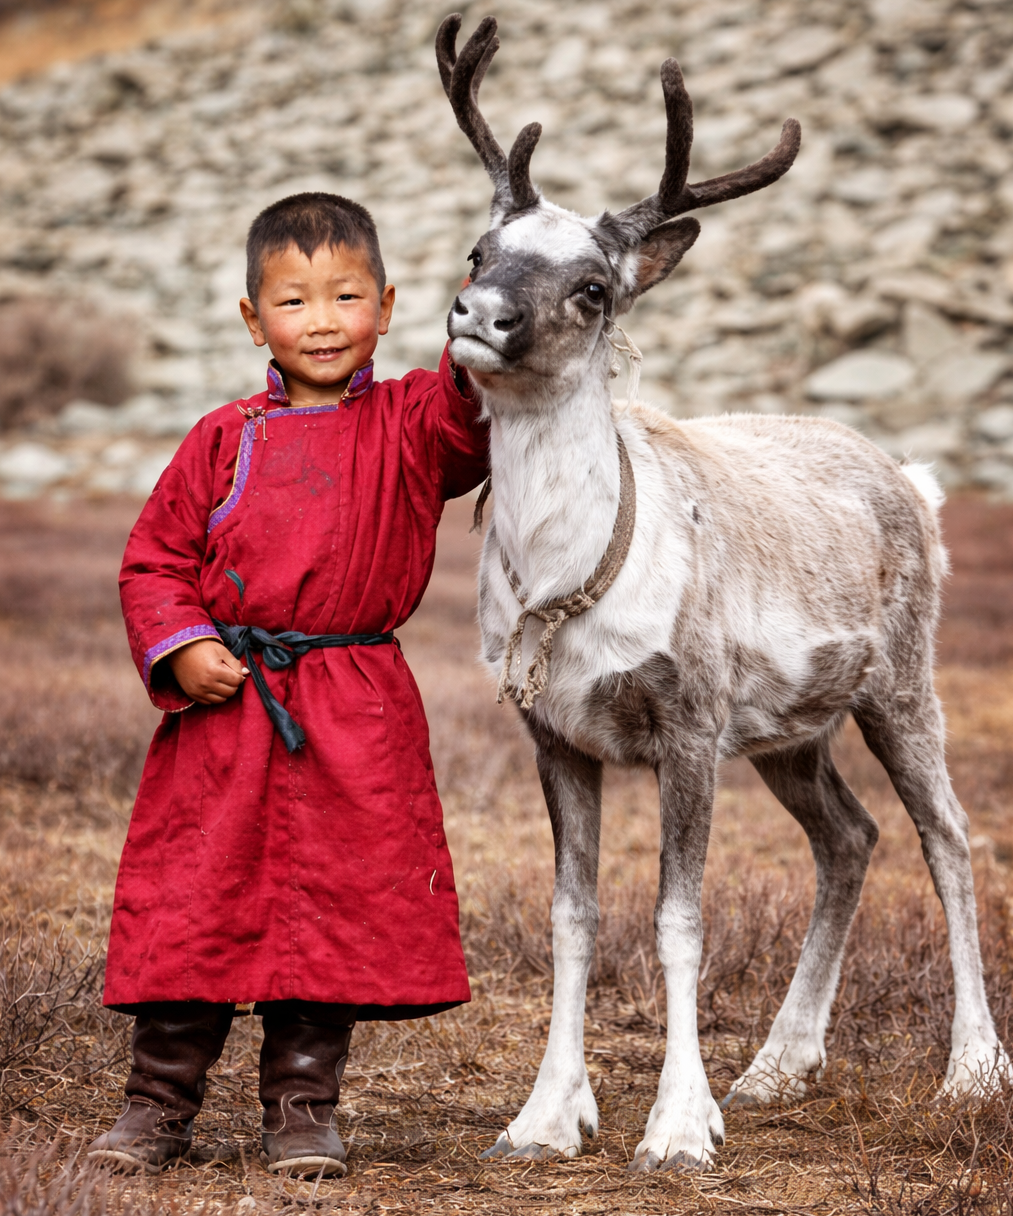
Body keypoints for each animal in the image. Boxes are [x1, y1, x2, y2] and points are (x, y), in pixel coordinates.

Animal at [435, 14, 1013, 1172]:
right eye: (481, 251)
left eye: (594, 288)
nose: (477, 313)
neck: (567, 576)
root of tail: (913, 481)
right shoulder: (553, 733)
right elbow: (572, 916)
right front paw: (543, 1117)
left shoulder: (688, 723)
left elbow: (676, 921)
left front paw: (674, 1126)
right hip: (791, 733)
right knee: (849, 838)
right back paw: (779, 1065)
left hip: (901, 685)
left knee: (947, 834)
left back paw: (972, 1070)